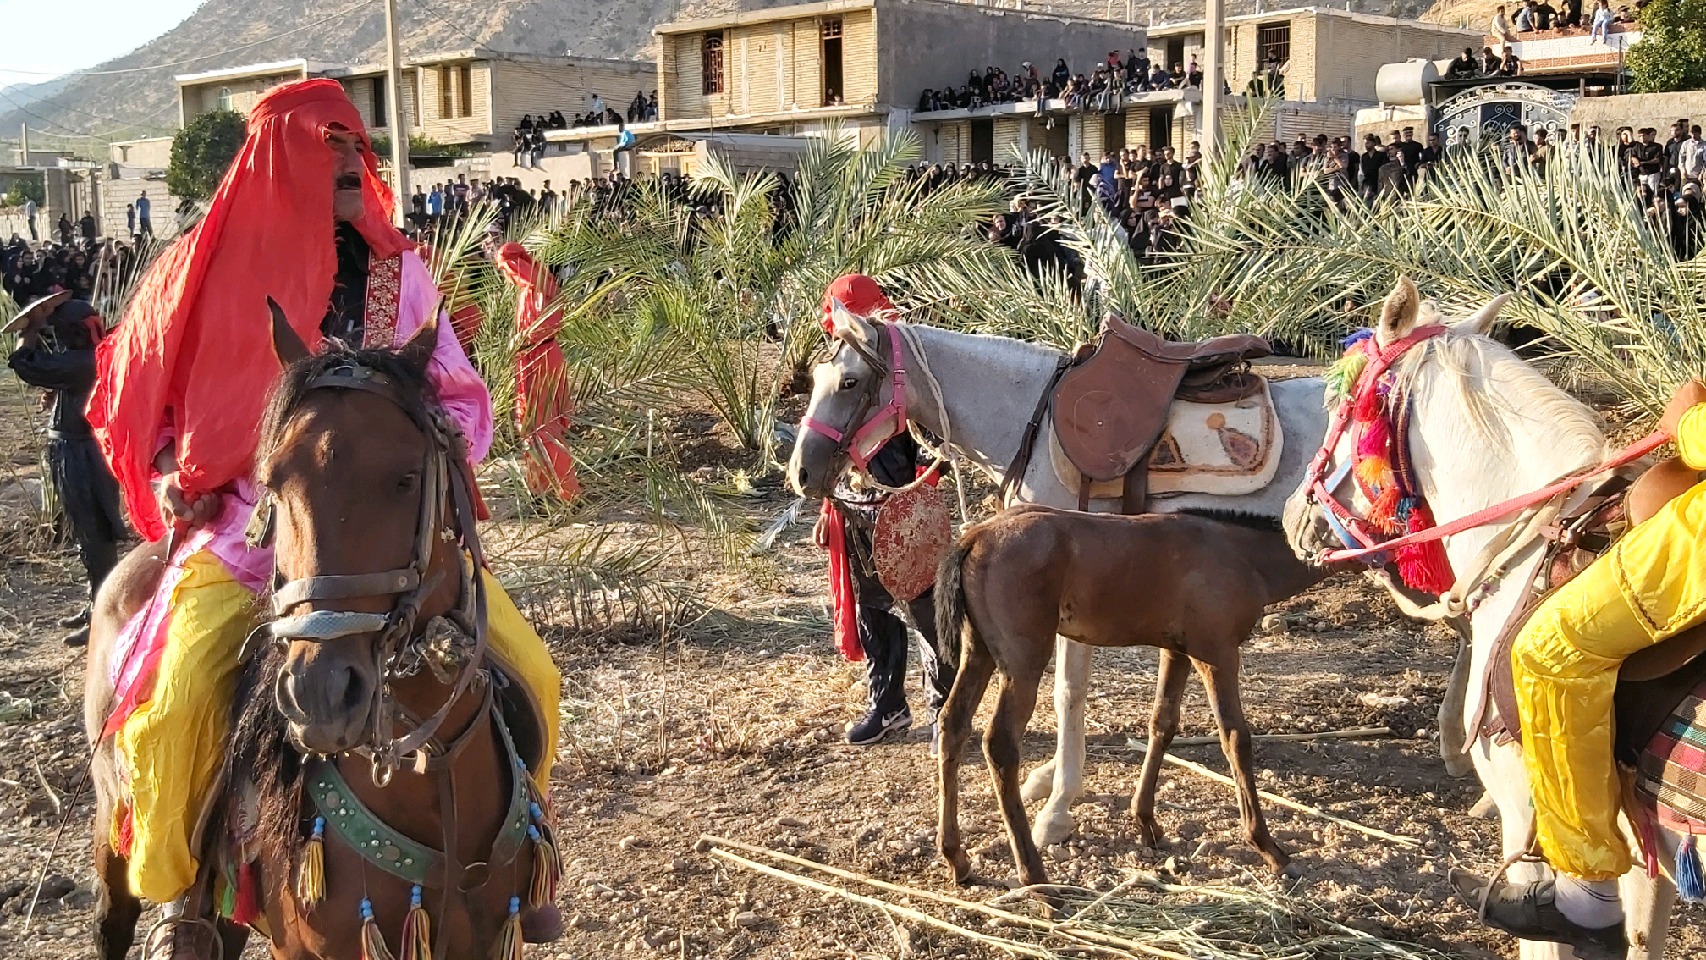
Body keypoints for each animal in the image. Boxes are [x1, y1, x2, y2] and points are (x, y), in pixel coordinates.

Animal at [788, 308, 1344, 849]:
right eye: (815, 378)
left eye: (850, 382)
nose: (800, 472)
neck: (1031, 420)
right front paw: (1052, 781)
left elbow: (1067, 693)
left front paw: (1058, 805)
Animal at [934, 508, 1317, 893]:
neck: (1238, 552)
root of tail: (975, 537)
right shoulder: (1216, 653)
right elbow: (1236, 739)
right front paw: (1268, 847)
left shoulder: (1177, 651)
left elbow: (1163, 723)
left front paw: (1146, 821)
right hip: (1022, 662)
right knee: (999, 744)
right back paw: (1035, 876)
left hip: (978, 651)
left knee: (953, 724)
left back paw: (956, 858)